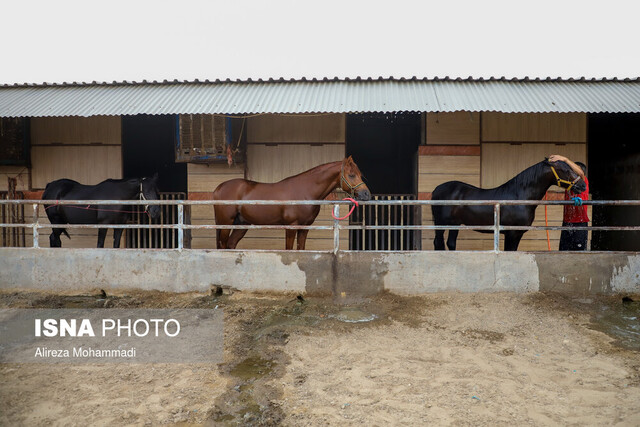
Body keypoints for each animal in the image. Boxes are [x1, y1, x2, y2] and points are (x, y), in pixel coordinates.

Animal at [212, 157, 370, 251]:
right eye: (351, 175)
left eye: (360, 174)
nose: (366, 194)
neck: (305, 191)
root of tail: (218, 188)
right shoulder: (291, 226)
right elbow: (289, 250)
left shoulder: (304, 228)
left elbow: (301, 250)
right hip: (225, 223)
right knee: (223, 245)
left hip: (242, 224)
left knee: (231, 244)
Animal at [432, 160, 588, 252]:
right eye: (566, 170)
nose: (582, 186)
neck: (519, 197)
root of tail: (437, 189)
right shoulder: (511, 233)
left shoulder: (517, 234)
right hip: (441, 223)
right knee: (438, 243)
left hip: (455, 223)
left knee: (451, 243)